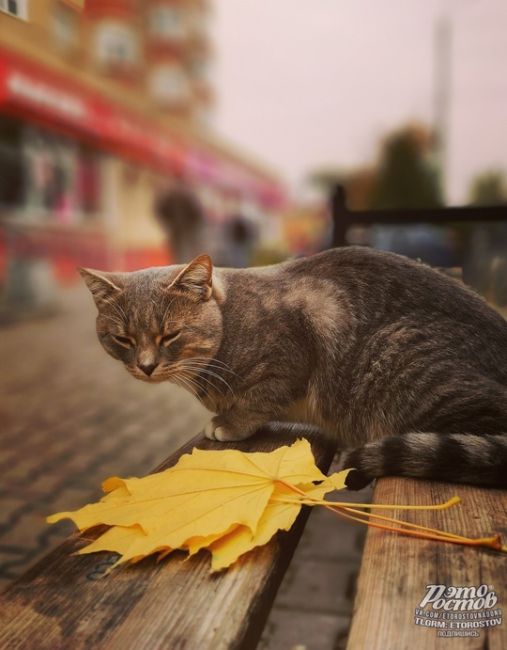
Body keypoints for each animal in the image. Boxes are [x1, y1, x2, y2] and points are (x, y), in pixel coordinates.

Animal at [80, 247, 507, 486]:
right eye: (123, 339)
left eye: (170, 335)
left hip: (403, 361)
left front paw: (229, 422)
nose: (146, 366)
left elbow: (258, 399)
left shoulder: (292, 355)